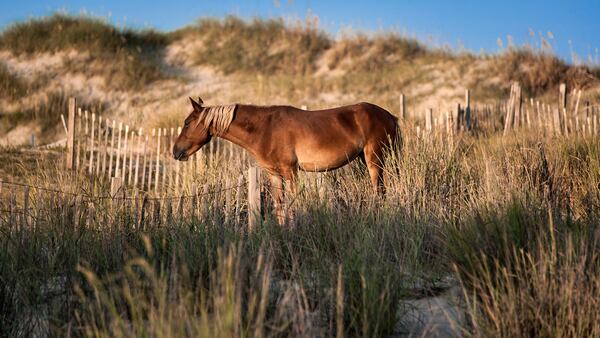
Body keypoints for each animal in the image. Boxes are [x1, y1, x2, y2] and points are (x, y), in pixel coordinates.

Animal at [172, 97, 398, 224]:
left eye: (187, 123)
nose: (176, 151)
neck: (265, 128)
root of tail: (390, 115)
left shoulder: (290, 171)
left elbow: (292, 203)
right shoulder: (274, 174)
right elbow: (279, 205)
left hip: (374, 160)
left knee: (379, 191)